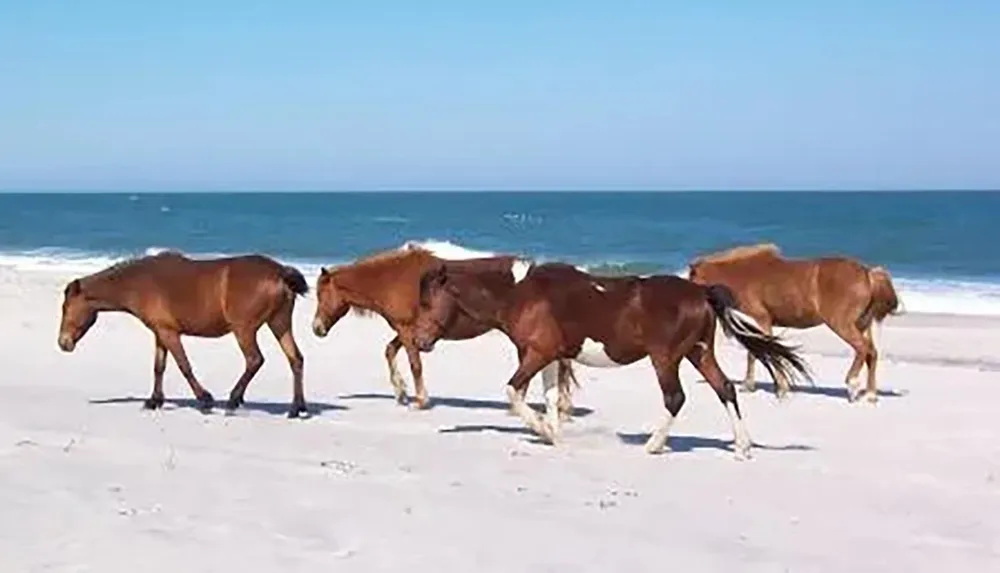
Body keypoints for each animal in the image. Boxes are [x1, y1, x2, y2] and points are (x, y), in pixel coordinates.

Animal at [57, 250, 310, 418]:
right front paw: (154, 401)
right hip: (279, 324)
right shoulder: (160, 332)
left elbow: (184, 366)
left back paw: (232, 401)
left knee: (254, 360)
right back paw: (296, 408)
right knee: (295, 359)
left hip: (244, 330)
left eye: (65, 308)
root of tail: (280, 272)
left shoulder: (170, 333)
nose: (63, 343)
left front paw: (205, 400)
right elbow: (159, 367)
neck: (140, 283)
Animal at [311, 243, 579, 414]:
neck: (392, 279)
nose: (316, 328)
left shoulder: (407, 330)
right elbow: (390, 351)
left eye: (321, 295)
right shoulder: (409, 331)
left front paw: (420, 400)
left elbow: (415, 364)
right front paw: (401, 393)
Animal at [413, 262, 813, 460]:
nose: (418, 340)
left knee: (675, 397)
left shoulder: (537, 354)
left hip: (666, 357)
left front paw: (543, 430)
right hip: (699, 352)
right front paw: (553, 434)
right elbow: (551, 398)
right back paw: (742, 448)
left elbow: (514, 393)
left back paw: (653, 445)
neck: (520, 295)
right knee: (725, 388)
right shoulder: (550, 356)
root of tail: (700, 291)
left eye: (428, 302)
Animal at [687, 243, 902, 403]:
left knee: (862, 348)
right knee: (871, 353)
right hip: (862, 324)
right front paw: (750, 385)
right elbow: (755, 353)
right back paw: (871, 395)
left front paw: (781, 389)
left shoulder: (762, 320)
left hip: (842, 324)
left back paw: (852, 385)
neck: (745, 274)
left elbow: (763, 353)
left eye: (692, 276)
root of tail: (868, 273)